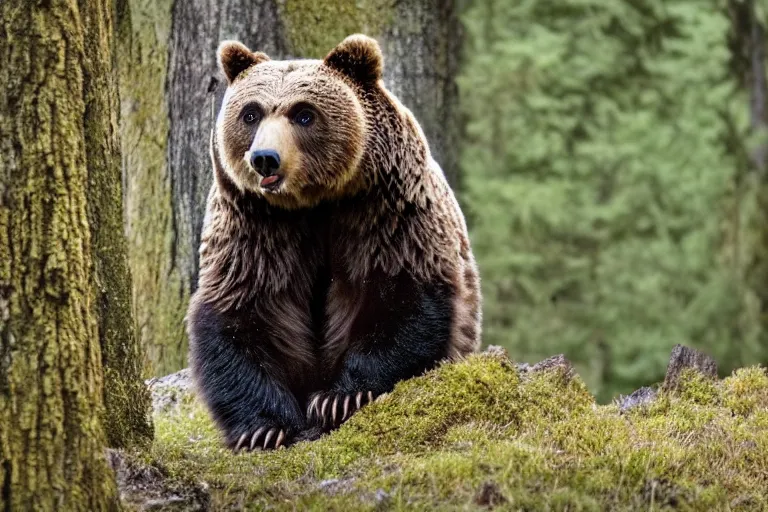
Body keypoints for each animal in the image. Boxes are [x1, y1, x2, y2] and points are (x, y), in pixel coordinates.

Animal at [188, 35, 480, 452]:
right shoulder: (255, 228)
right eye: (251, 113)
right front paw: (264, 428)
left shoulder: (386, 212)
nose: (265, 159)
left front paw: (339, 398)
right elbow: (240, 311)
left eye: (304, 114)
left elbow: (400, 299)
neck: (313, 203)